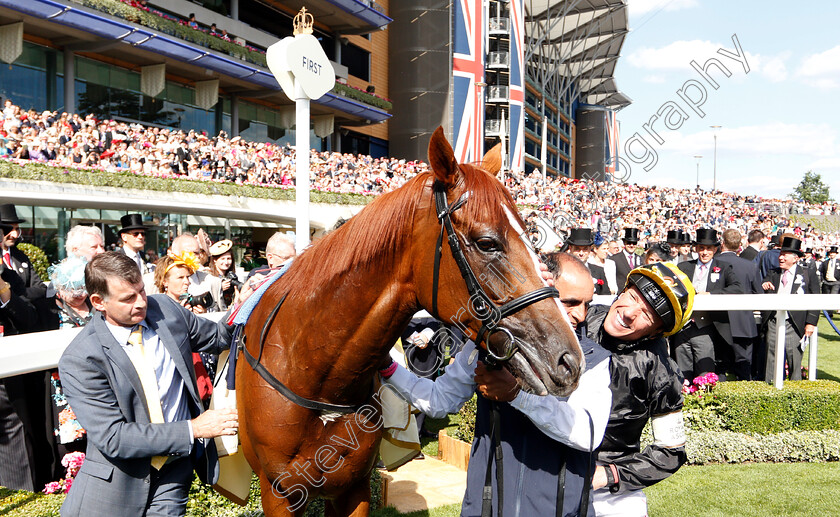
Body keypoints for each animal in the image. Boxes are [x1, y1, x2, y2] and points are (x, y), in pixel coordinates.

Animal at [238, 127, 584, 512]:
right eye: (486, 242)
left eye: (530, 235)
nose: (569, 360)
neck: (313, 371)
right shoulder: (278, 493)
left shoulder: (353, 487)